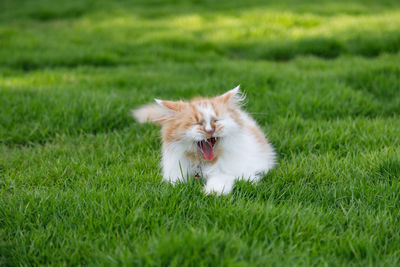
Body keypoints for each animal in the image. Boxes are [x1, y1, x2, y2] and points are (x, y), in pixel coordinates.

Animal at [132, 86, 276, 195]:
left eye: (216, 121)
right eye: (197, 123)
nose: (210, 130)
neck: (202, 164)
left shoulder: (240, 173)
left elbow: (220, 179)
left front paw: (211, 193)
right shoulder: (175, 172)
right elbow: (176, 183)